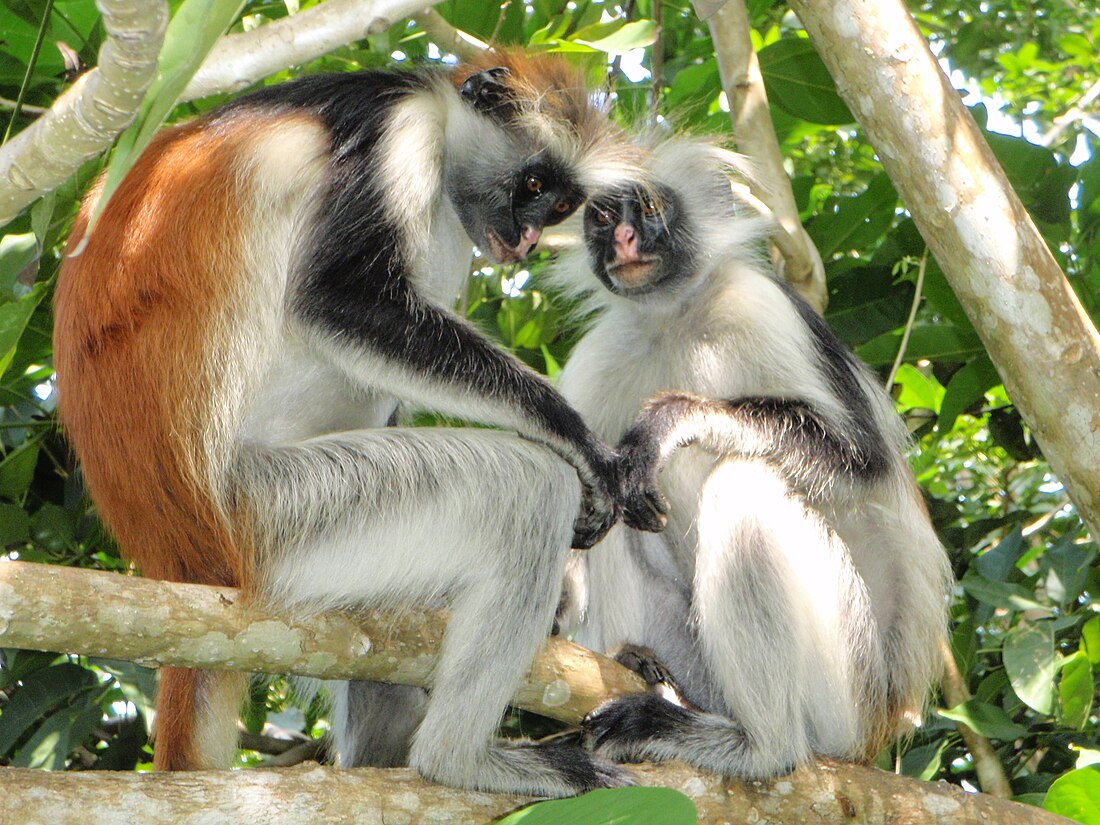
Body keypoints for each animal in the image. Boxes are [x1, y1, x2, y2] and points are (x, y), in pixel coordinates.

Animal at [53, 55, 642, 796]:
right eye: (532, 185)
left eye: (560, 207)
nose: (530, 238)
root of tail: (179, 555)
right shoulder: (397, 130)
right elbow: (339, 296)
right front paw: (577, 441)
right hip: (280, 510)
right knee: (525, 490)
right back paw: (457, 760)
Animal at [554, 141, 959, 783]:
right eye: (601, 217)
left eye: (649, 207)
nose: (622, 239)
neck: (675, 316)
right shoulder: (598, 356)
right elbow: (589, 504)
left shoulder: (760, 304)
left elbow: (862, 463)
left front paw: (672, 420)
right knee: (620, 507)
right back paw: (642, 666)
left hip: (846, 684)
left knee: (744, 483)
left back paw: (760, 745)